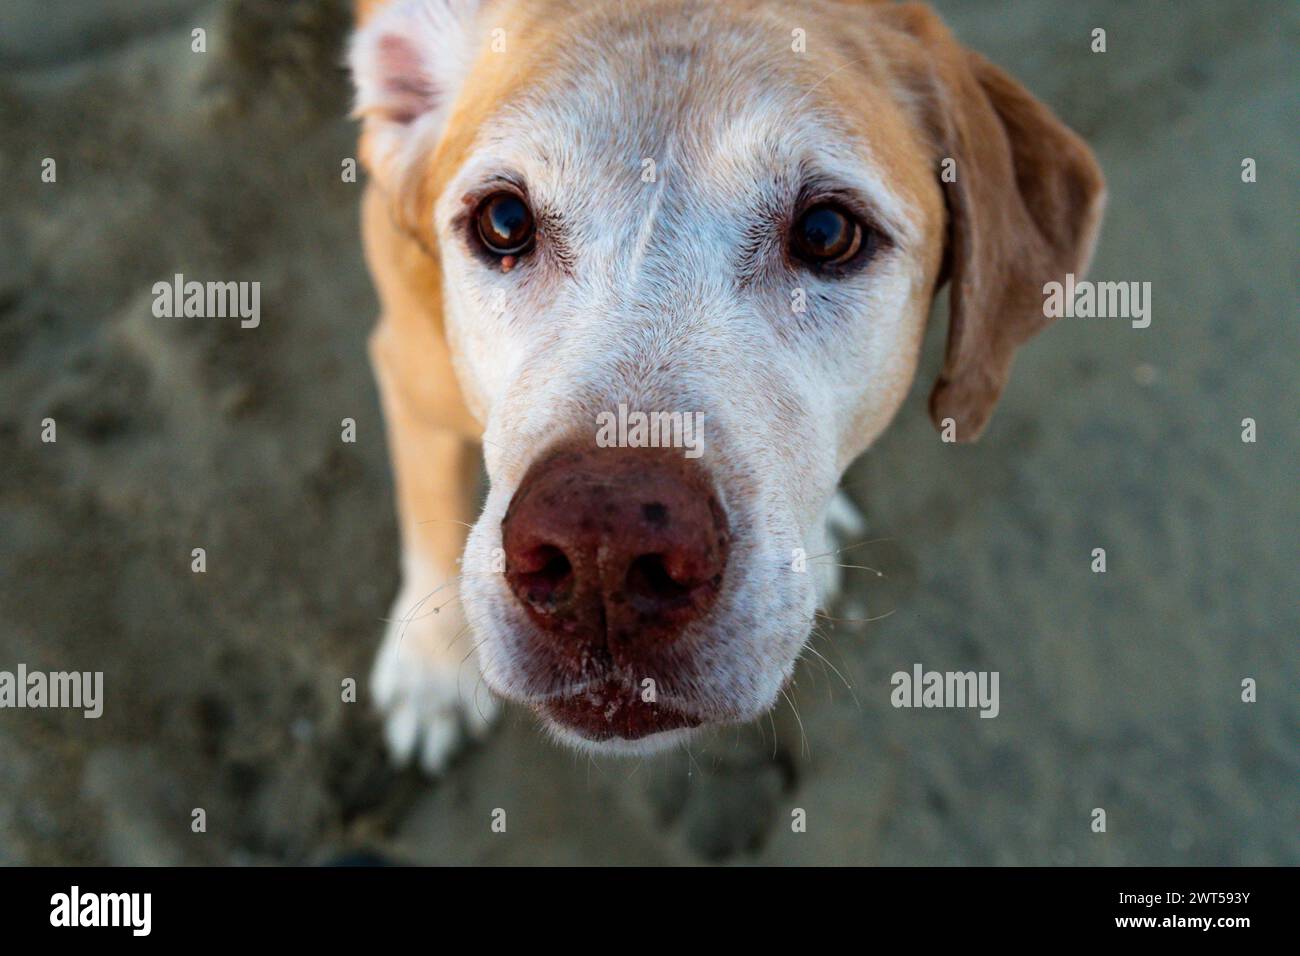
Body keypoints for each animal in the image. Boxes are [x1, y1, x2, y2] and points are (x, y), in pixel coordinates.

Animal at [348, 0, 1107, 770]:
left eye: (828, 232)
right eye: (503, 222)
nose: (604, 549)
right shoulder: (407, 373)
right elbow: (427, 509)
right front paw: (430, 672)